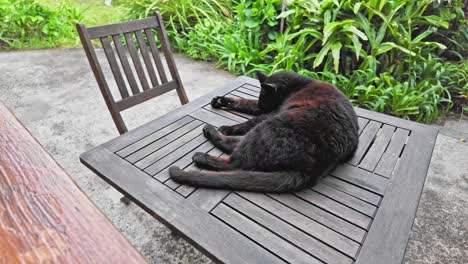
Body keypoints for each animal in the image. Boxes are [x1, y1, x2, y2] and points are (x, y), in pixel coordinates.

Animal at [168, 71, 358, 193]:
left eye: (264, 96)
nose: (261, 105)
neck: (301, 86)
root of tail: (311, 170)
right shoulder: (263, 110)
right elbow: (244, 101)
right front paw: (221, 100)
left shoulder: (270, 112)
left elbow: (248, 121)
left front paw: (227, 127)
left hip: (269, 125)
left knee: (234, 161)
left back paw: (206, 145)